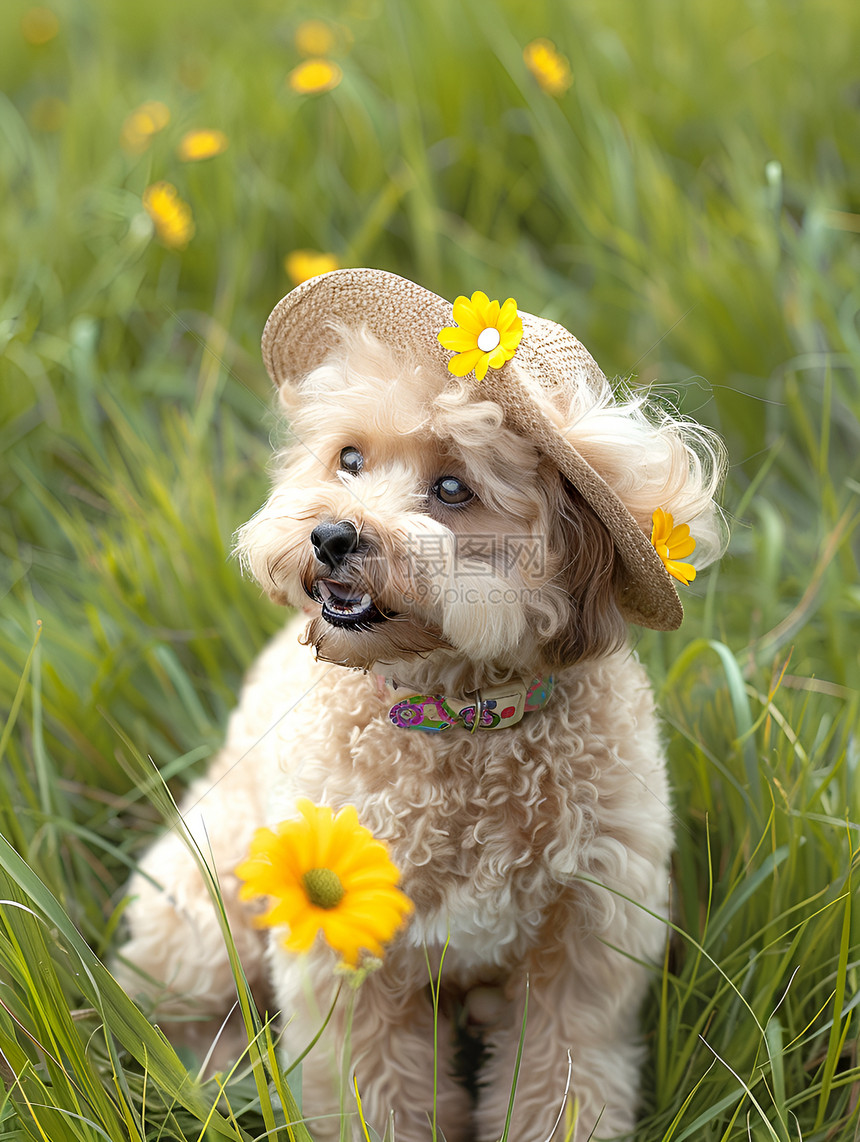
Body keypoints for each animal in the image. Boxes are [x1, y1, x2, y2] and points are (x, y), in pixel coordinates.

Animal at [117, 269, 726, 1142]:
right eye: (349, 458)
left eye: (452, 488)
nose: (332, 537)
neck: (458, 717)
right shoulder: (344, 943)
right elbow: (371, 1087)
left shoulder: (590, 942)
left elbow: (563, 1076)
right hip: (205, 906)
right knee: (177, 1007)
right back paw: (229, 1079)